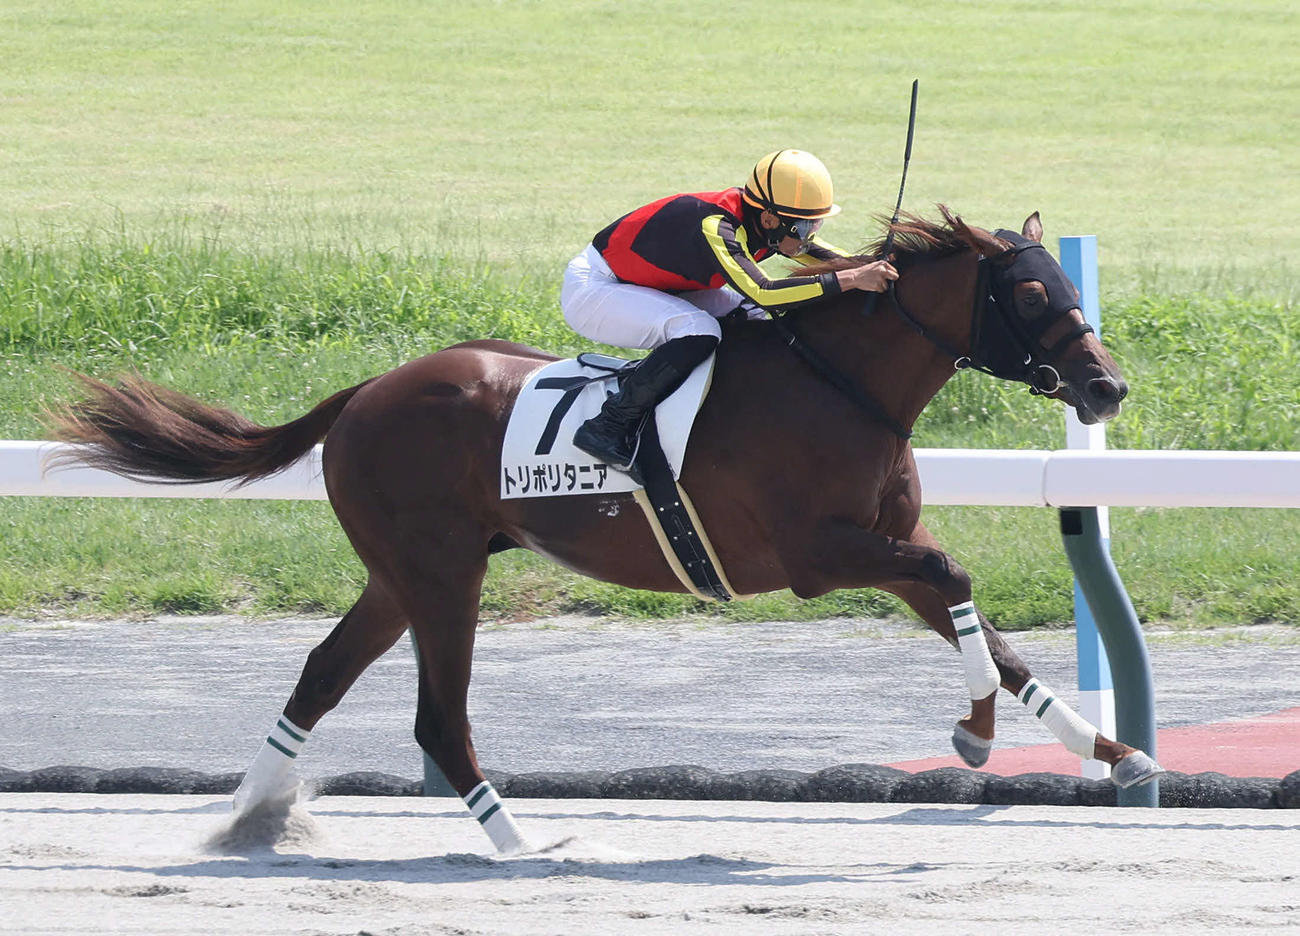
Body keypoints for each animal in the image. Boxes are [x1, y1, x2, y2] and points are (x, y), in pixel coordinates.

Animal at [48, 207, 1162, 853]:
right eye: (1031, 292)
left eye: (1070, 287)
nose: (1104, 387)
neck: (839, 383)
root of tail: (367, 391)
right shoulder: (821, 555)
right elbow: (957, 572)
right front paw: (976, 736)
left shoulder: (881, 553)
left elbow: (992, 637)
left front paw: (1112, 752)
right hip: (438, 573)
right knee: (436, 716)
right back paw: (517, 846)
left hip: (399, 574)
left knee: (322, 673)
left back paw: (246, 816)